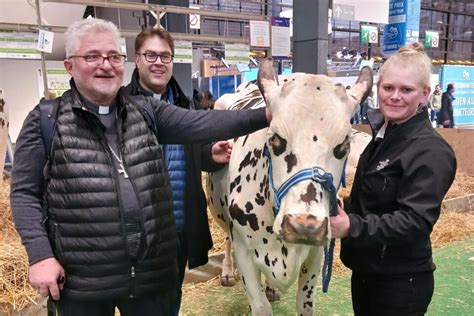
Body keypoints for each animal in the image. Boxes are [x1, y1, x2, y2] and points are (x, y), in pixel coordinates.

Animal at [208, 58, 374, 314]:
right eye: (275, 139)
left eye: (343, 146)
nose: (304, 226)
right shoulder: (244, 250)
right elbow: (260, 306)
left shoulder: (316, 253)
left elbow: (304, 303)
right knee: (226, 237)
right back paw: (227, 271)